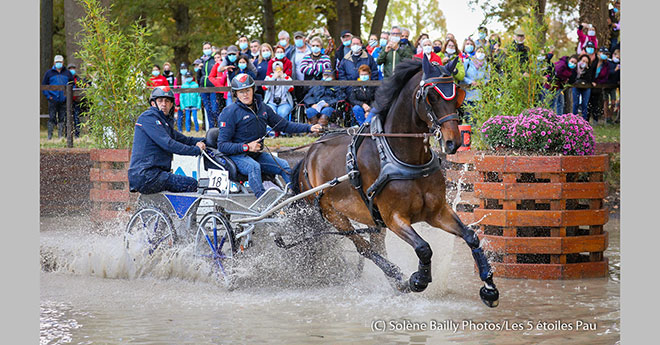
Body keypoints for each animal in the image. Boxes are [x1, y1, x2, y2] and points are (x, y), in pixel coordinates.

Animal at [292, 54, 498, 306]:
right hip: (334, 215)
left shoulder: (437, 211)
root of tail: (308, 155)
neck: (403, 157)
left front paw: (489, 287)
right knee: (365, 249)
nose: (453, 142)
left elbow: (471, 237)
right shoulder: (394, 218)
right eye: (431, 96)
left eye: (456, 94)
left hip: (371, 219)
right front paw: (418, 279)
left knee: (376, 246)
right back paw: (398, 276)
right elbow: (424, 248)